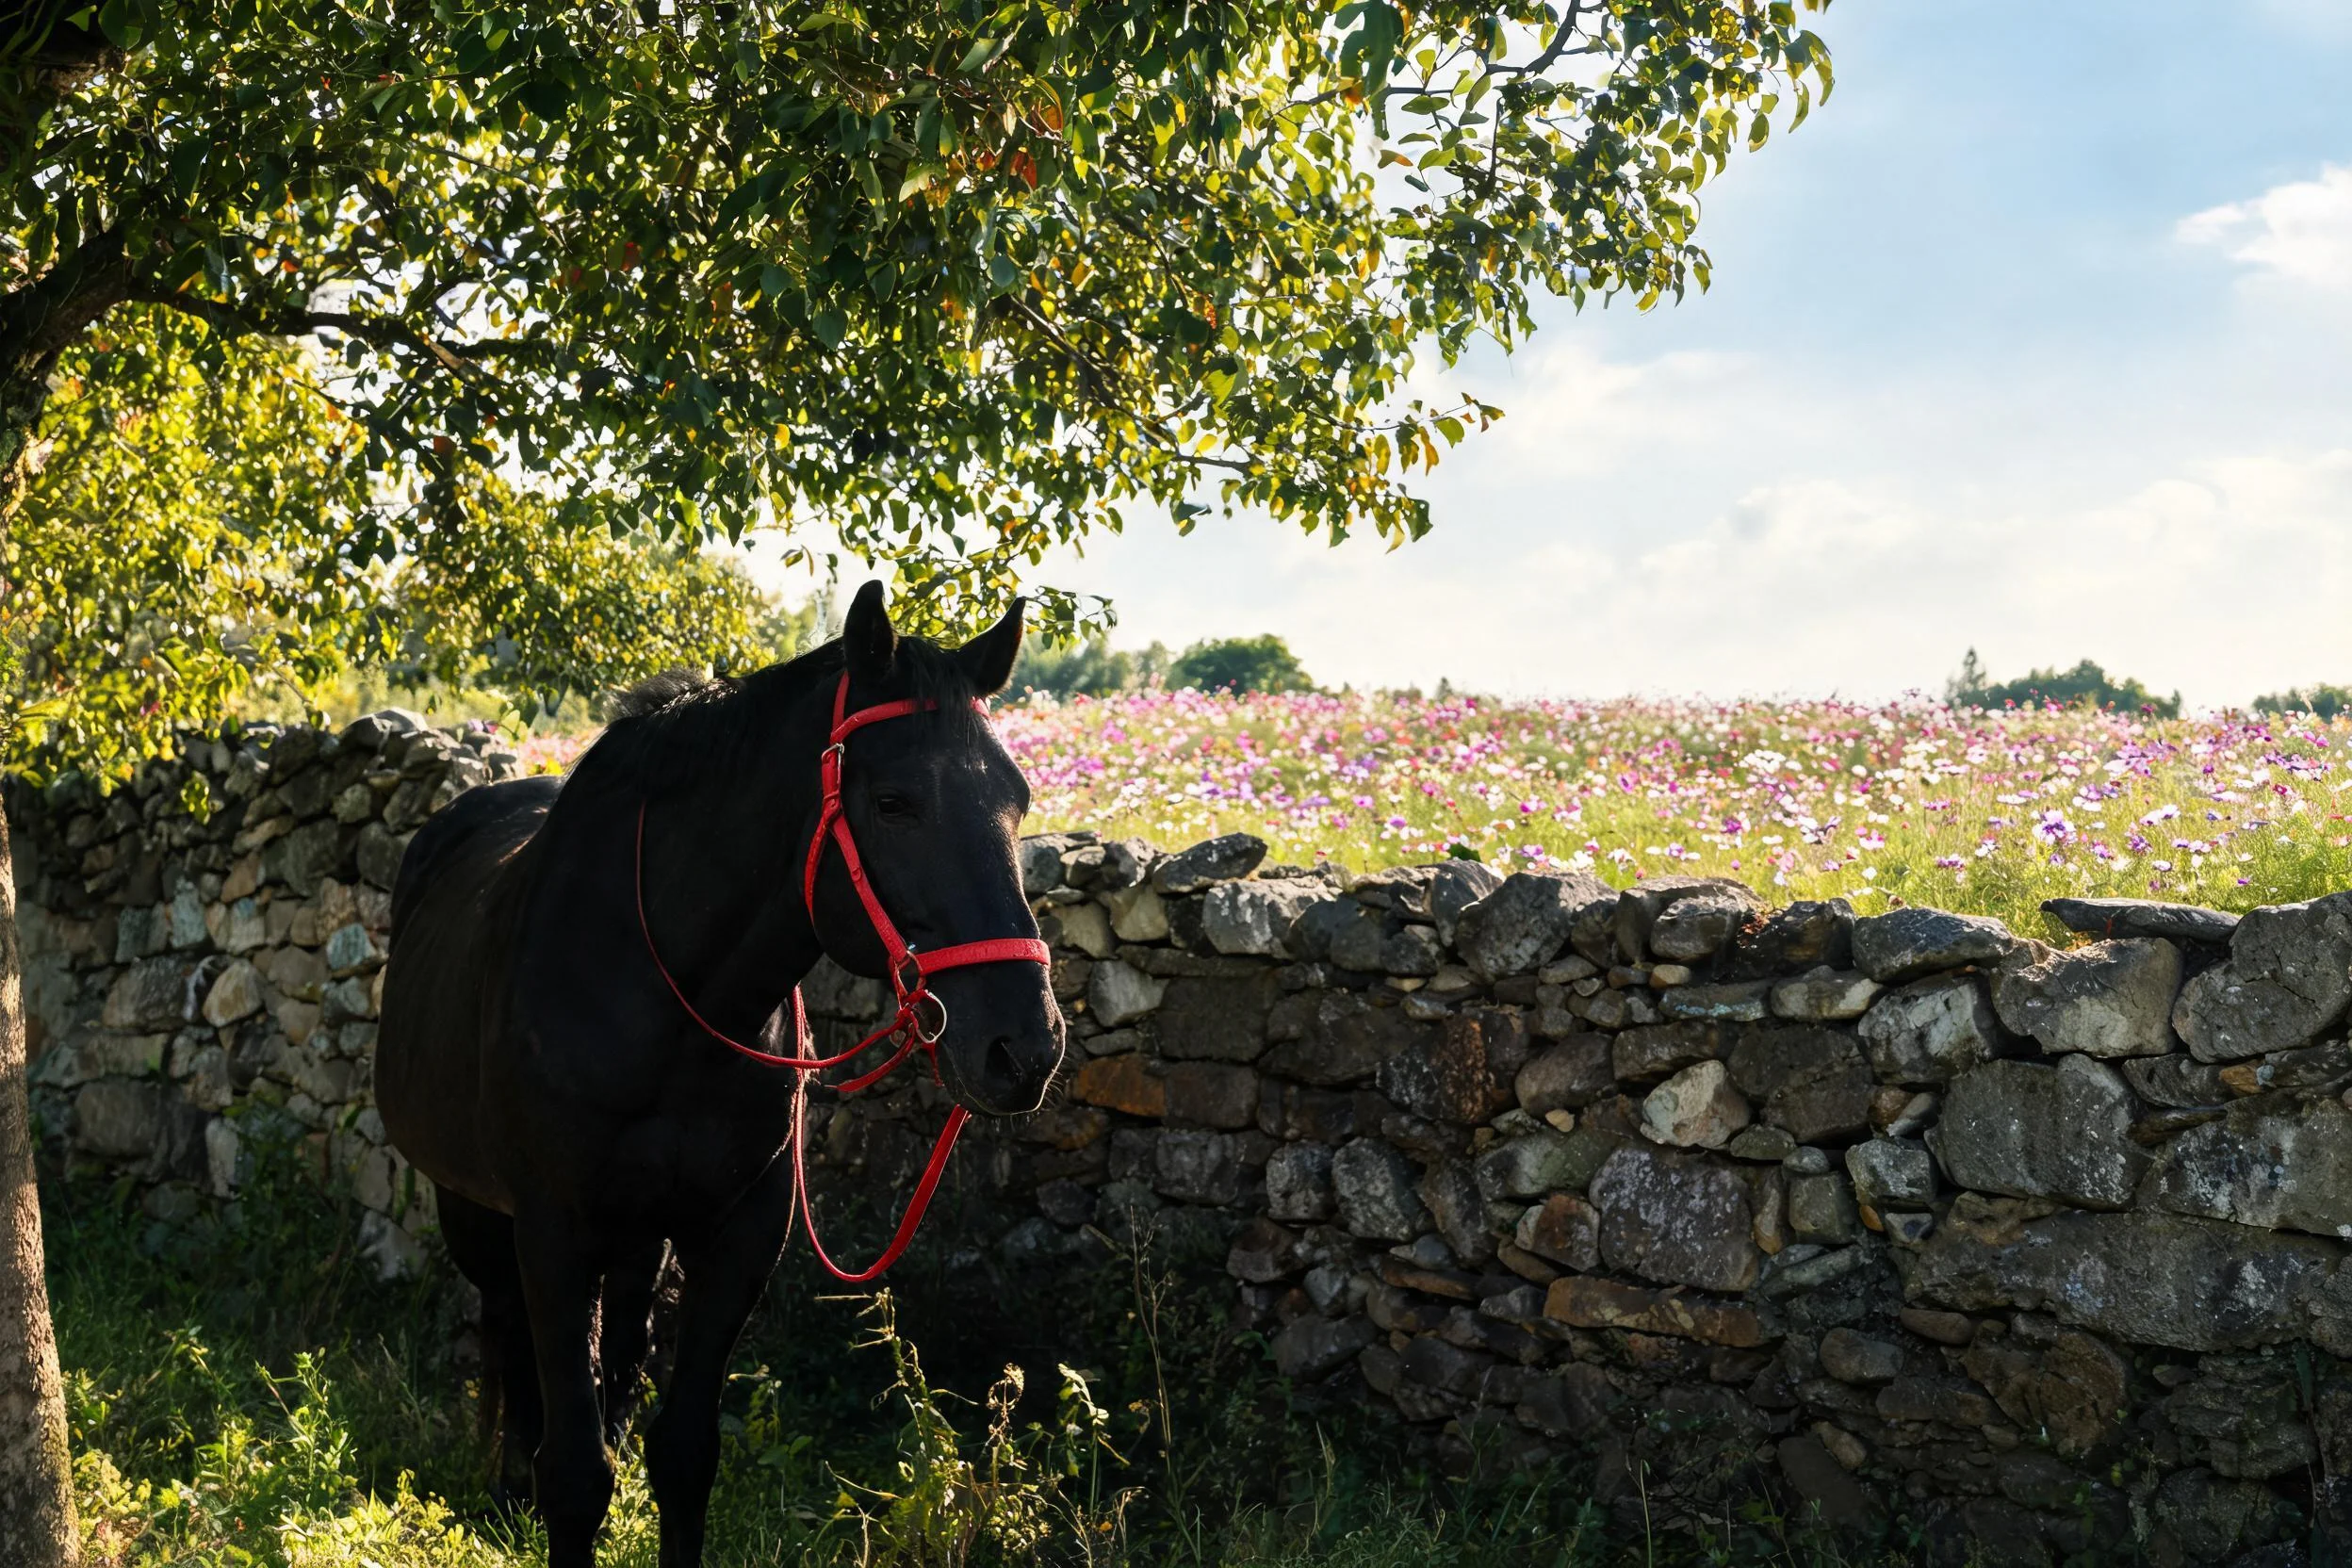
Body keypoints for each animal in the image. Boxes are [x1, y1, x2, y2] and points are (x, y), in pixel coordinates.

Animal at [374, 582, 1066, 1568]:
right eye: (895, 802)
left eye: (1017, 798)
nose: (1023, 1047)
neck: (659, 992)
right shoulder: (553, 1231)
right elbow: (573, 1471)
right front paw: (545, 1487)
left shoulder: (738, 1234)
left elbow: (683, 1454)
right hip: (473, 1207)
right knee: (505, 1324)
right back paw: (508, 1483)